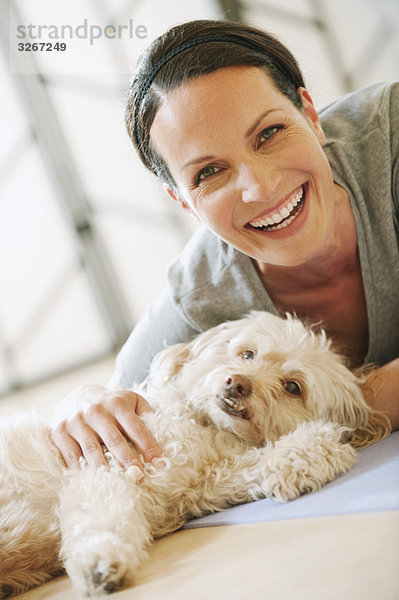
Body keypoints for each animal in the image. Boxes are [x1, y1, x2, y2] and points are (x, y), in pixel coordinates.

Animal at [0, 312, 390, 596]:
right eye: (247, 353)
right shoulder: (105, 467)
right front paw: (101, 562)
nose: (237, 383)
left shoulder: (205, 483)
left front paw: (302, 460)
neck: (205, 427)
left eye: (293, 387)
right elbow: (101, 519)